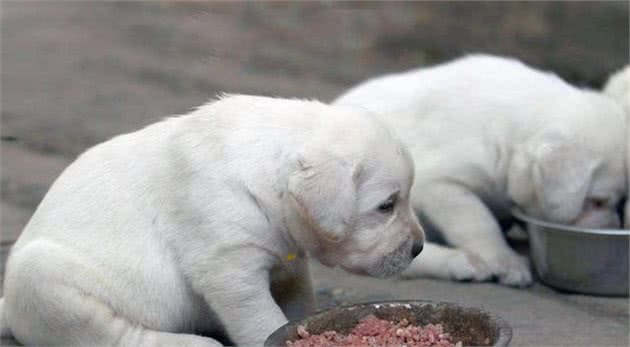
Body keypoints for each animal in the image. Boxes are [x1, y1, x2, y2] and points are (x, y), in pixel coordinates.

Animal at [1, 94, 424, 346]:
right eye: (386, 205)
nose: (419, 248)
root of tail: (9, 311)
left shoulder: (286, 260)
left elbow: (298, 299)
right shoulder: (228, 265)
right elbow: (260, 317)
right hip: (44, 275)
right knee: (113, 336)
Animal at [336, 55, 628, 288]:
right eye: (597, 201)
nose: (614, 225)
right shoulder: (440, 183)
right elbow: (478, 220)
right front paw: (504, 259)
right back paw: (461, 262)